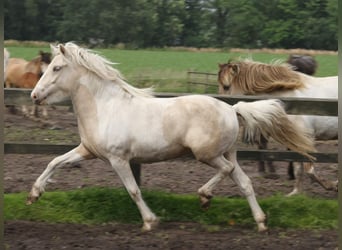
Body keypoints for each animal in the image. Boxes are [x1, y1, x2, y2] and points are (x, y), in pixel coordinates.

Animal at [26, 43, 316, 232]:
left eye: (57, 68)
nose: (34, 95)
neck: (105, 107)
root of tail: (232, 110)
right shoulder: (87, 150)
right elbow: (54, 162)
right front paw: (34, 195)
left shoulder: (118, 159)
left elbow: (133, 190)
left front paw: (150, 221)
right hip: (227, 152)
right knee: (244, 182)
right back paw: (261, 222)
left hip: (207, 154)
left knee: (226, 170)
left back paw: (204, 196)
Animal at [218, 59, 338, 197]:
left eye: (226, 86)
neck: (293, 101)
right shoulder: (295, 142)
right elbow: (298, 168)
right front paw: (295, 193)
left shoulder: (307, 138)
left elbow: (310, 170)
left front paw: (333, 185)